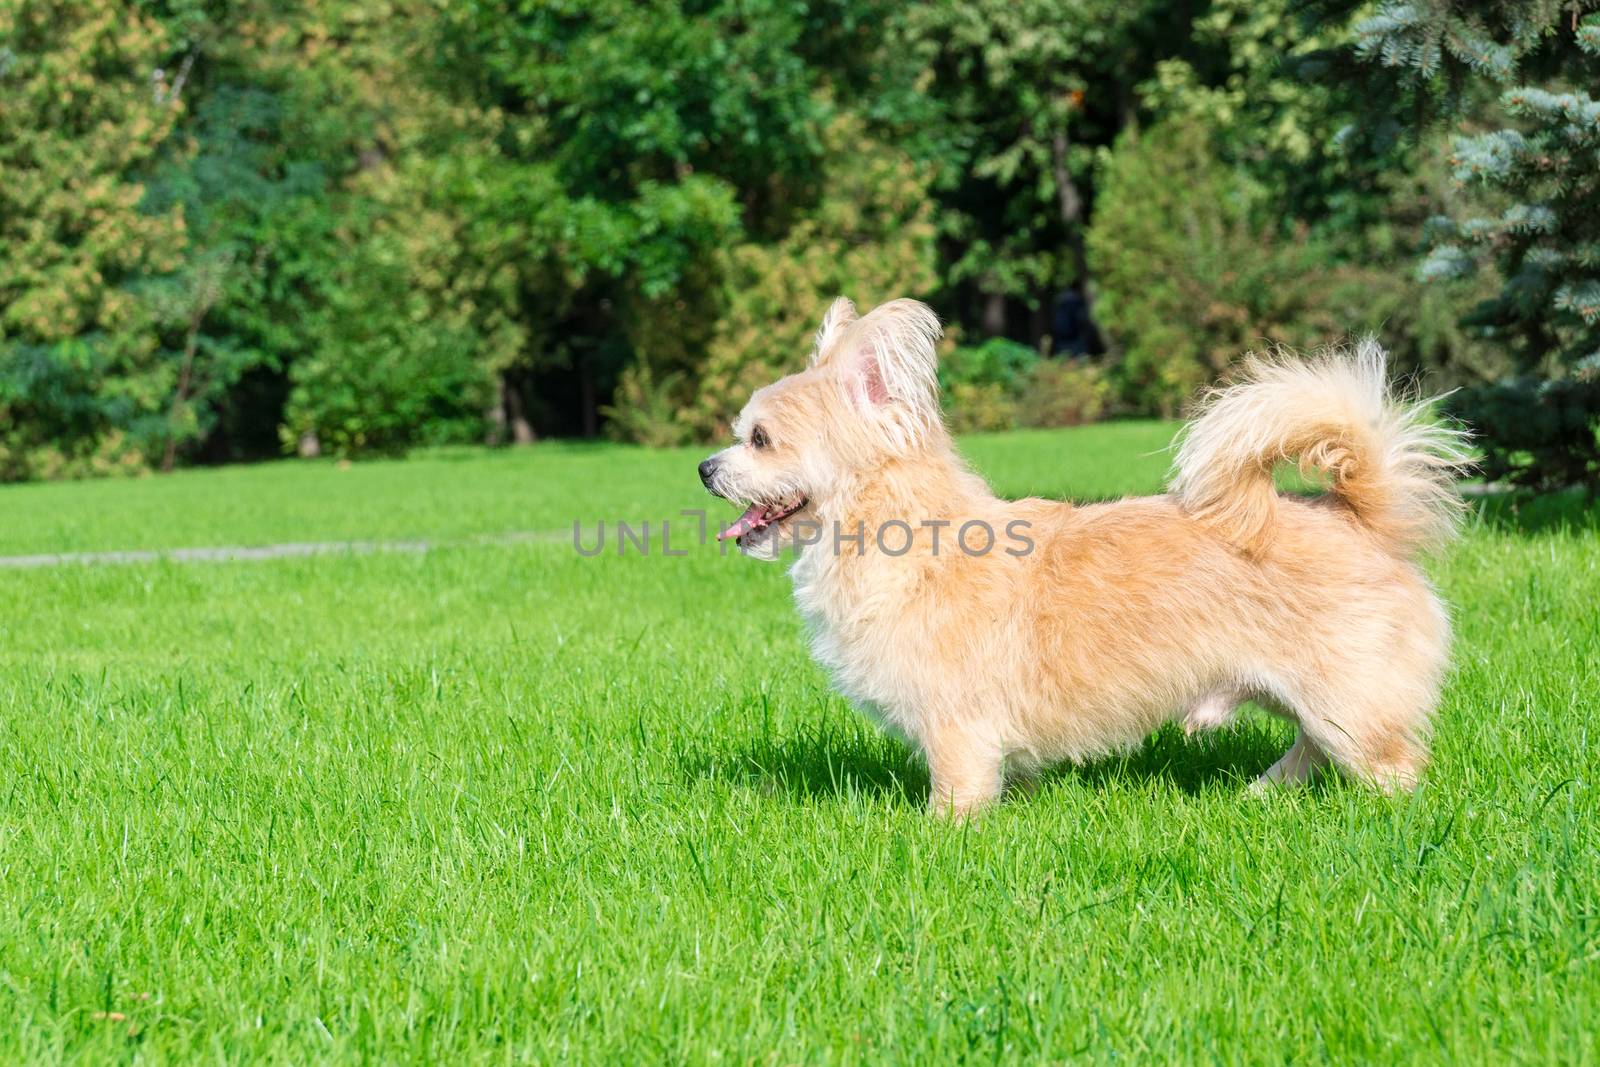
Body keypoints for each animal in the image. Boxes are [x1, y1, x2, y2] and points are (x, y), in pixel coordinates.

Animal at [694, 300, 1465, 819]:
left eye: (759, 439)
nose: (704, 467)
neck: (902, 535)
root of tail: (1356, 514)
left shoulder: (957, 729)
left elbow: (956, 795)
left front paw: (936, 835)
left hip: (1347, 699)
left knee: (1388, 762)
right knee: (1313, 744)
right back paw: (1263, 790)